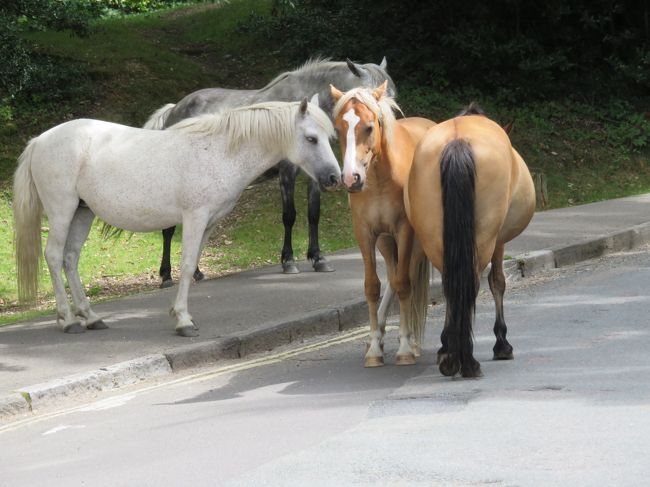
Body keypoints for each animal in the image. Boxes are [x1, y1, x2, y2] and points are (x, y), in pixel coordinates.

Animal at [12, 97, 340, 338]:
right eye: (311, 138)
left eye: (328, 136)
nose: (334, 178)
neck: (219, 152)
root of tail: (40, 140)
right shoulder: (195, 218)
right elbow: (186, 266)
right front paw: (183, 321)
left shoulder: (209, 223)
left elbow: (194, 265)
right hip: (62, 210)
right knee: (54, 256)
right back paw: (68, 320)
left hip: (83, 212)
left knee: (70, 258)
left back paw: (91, 317)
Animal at [143, 57, 394, 286]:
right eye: (366, 100)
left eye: (391, 96)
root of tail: (174, 110)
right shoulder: (287, 172)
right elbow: (289, 215)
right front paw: (288, 261)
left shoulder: (317, 176)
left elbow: (313, 214)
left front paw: (318, 258)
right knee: (169, 229)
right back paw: (166, 275)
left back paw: (195, 272)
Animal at [330, 82, 436, 368]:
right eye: (338, 129)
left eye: (369, 127)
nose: (351, 178)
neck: (378, 180)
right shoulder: (365, 233)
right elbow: (373, 286)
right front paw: (375, 349)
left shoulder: (404, 230)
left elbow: (404, 284)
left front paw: (405, 348)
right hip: (387, 243)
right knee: (393, 276)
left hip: (419, 240)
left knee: (408, 277)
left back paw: (413, 342)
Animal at [402, 103, 536, 378]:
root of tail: (458, 141)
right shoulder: (498, 242)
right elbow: (497, 282)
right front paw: (502, 344)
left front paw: (445, 347)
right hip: (484, 240)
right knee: (470, 285)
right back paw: (467, 361)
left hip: (434, 237)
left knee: (452, 285)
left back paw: (450, 355)